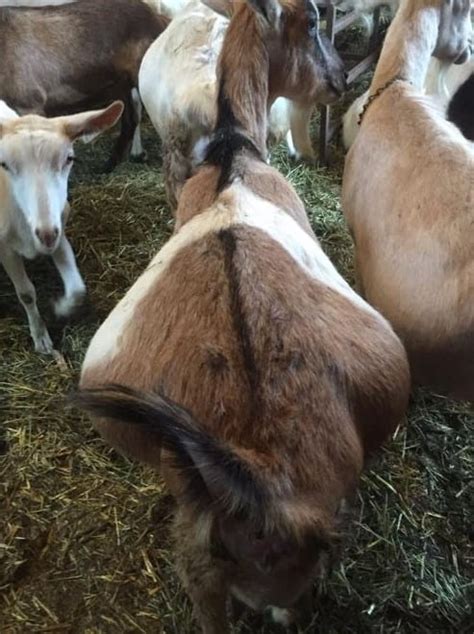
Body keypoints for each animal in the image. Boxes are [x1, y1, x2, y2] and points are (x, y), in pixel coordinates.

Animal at [0, 101, 124, 354]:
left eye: (69, 158)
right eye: (3, 164)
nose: (45, 234)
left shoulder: (59, 232)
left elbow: (77, 289)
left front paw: (59, 308)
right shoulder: (5, 248)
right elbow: (26, 294)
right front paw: (41, 338)